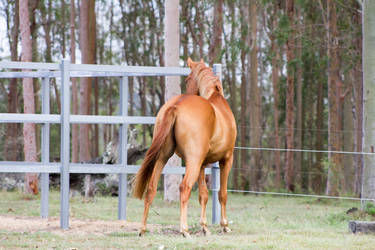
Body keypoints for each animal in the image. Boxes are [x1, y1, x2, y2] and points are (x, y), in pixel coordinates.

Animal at [134, 58, 236, 236]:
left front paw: (204, 227)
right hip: (192, 163)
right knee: (184, 187)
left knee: (151, 188)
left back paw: (142, 229)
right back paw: (184, 229)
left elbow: (204, 195)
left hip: (163, 157)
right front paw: (224, 225)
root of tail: (177, 105)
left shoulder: (202, 164)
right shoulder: (226, 160)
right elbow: (222, 194)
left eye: (188, 79)